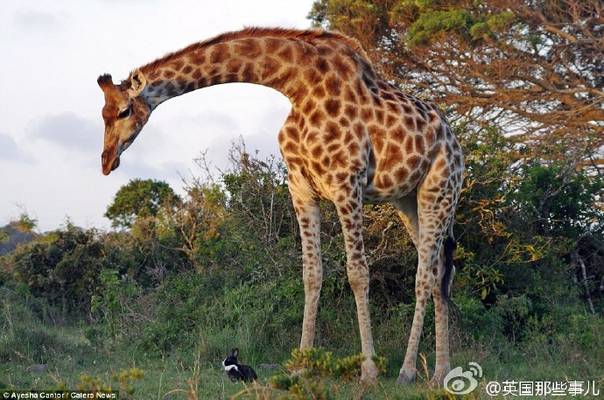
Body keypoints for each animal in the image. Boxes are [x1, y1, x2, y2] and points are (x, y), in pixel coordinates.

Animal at [96, 28, 462, 384]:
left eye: (124, 111)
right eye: (102, 114)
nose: (107, 161)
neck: (297, 86)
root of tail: (454, 142)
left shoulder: (347, 184)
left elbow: (358, 273)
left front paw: (369, 372)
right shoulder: (300, 188)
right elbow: (311, 274)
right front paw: (300, 366)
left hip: (438, 191)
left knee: (424, 276)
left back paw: (408, 371)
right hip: (407, 201)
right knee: (440, 270)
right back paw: (440, 372)